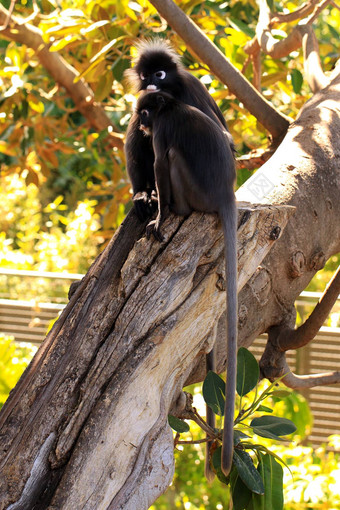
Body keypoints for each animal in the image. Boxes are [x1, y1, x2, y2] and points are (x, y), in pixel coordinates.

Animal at [124, 38, 234, 222]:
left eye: (159, 74)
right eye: (145, 76)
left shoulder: (189, 88)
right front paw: (140, 194)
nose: (151, 84)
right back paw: (146, 193)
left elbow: (224, 136)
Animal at [135, 91, 236, 478]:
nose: (141, 123)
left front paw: (160, 217)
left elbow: (160, 163)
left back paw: (176, 210)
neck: (170, 106)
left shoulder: (163, 130)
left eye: (145, 113)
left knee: (172, 160)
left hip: (195, 193)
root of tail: (226, 195)